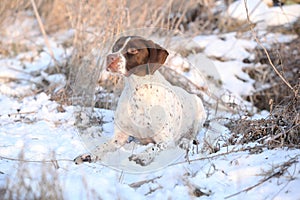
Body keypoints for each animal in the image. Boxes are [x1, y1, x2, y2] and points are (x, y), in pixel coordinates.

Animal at [74, 35, 206, 166]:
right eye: (115, 48)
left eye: (133, 50)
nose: (110, 57)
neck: (137, 90)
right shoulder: (119, 137)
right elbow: (101, 147)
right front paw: (88, 155)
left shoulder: (166, 141)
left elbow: (154, 147)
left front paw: (142, 156)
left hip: (199, 110)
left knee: (192, 136)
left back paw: (185, 142)